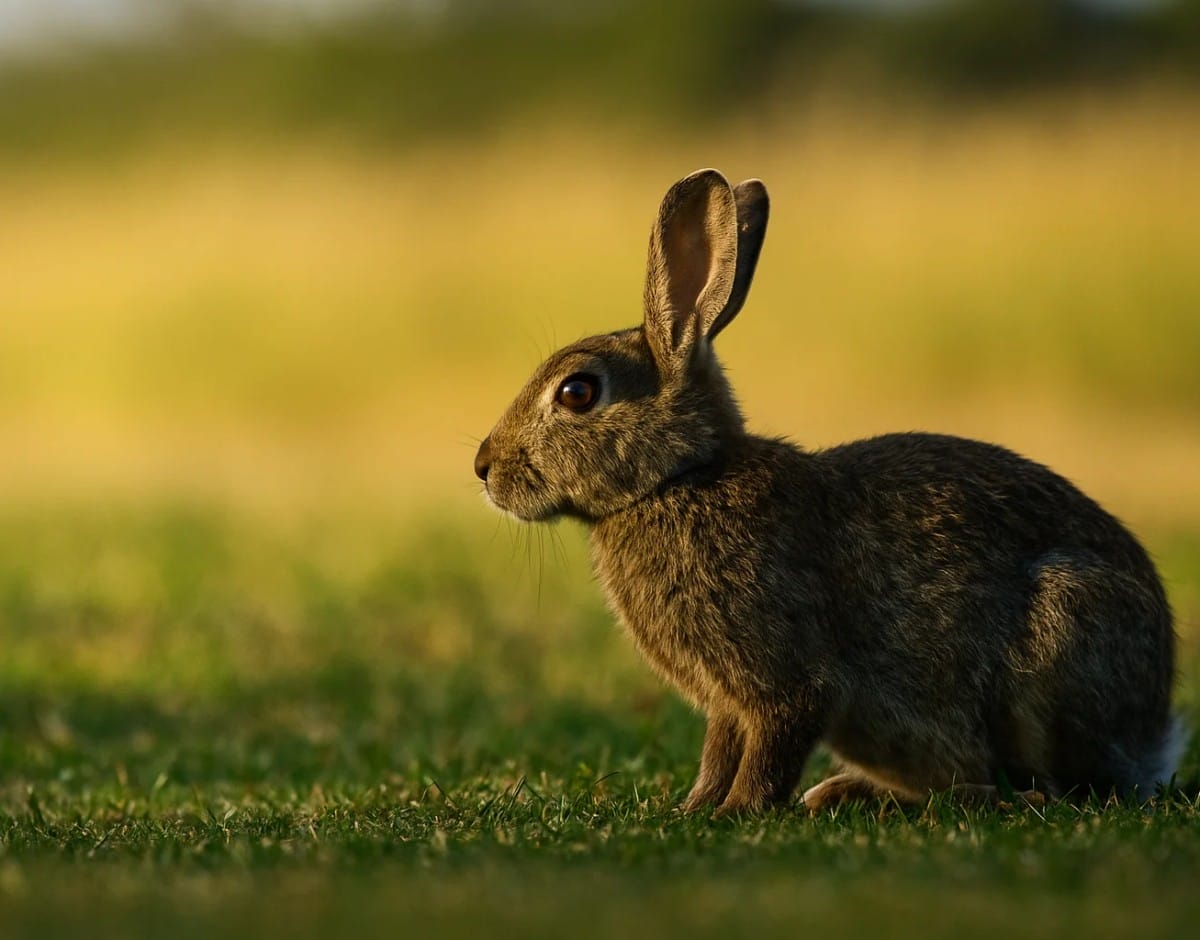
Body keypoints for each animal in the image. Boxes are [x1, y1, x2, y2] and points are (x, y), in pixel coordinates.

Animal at [474, 168, 1183, 816]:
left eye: (577, 392)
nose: (483, 468)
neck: (680, 479)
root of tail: (1153, 735)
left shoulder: (789, 679)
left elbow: (772, 745)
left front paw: (736, 813)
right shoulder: (728, 701)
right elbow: (720, 751)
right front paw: (694, 807)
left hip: (1058, 641)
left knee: (1065, 791)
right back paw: (847, 793)